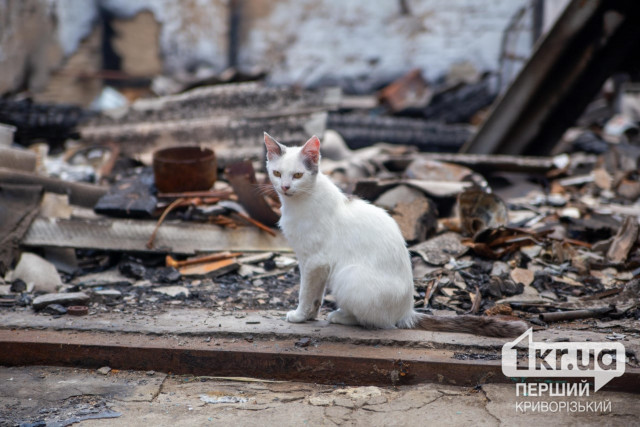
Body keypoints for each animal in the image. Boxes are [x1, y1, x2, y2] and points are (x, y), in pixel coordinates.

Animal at [262, 134, 528, 338]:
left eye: (297, 175)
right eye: (277, 173)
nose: (285, 187)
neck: (298, 202)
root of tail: (407, 311)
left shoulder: (314, 261)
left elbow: (306, 292)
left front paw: (300, 315)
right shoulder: (316, 264)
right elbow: (315, 295)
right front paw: (310, 316)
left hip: (348, 275)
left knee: (377, 322)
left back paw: (342, 317)